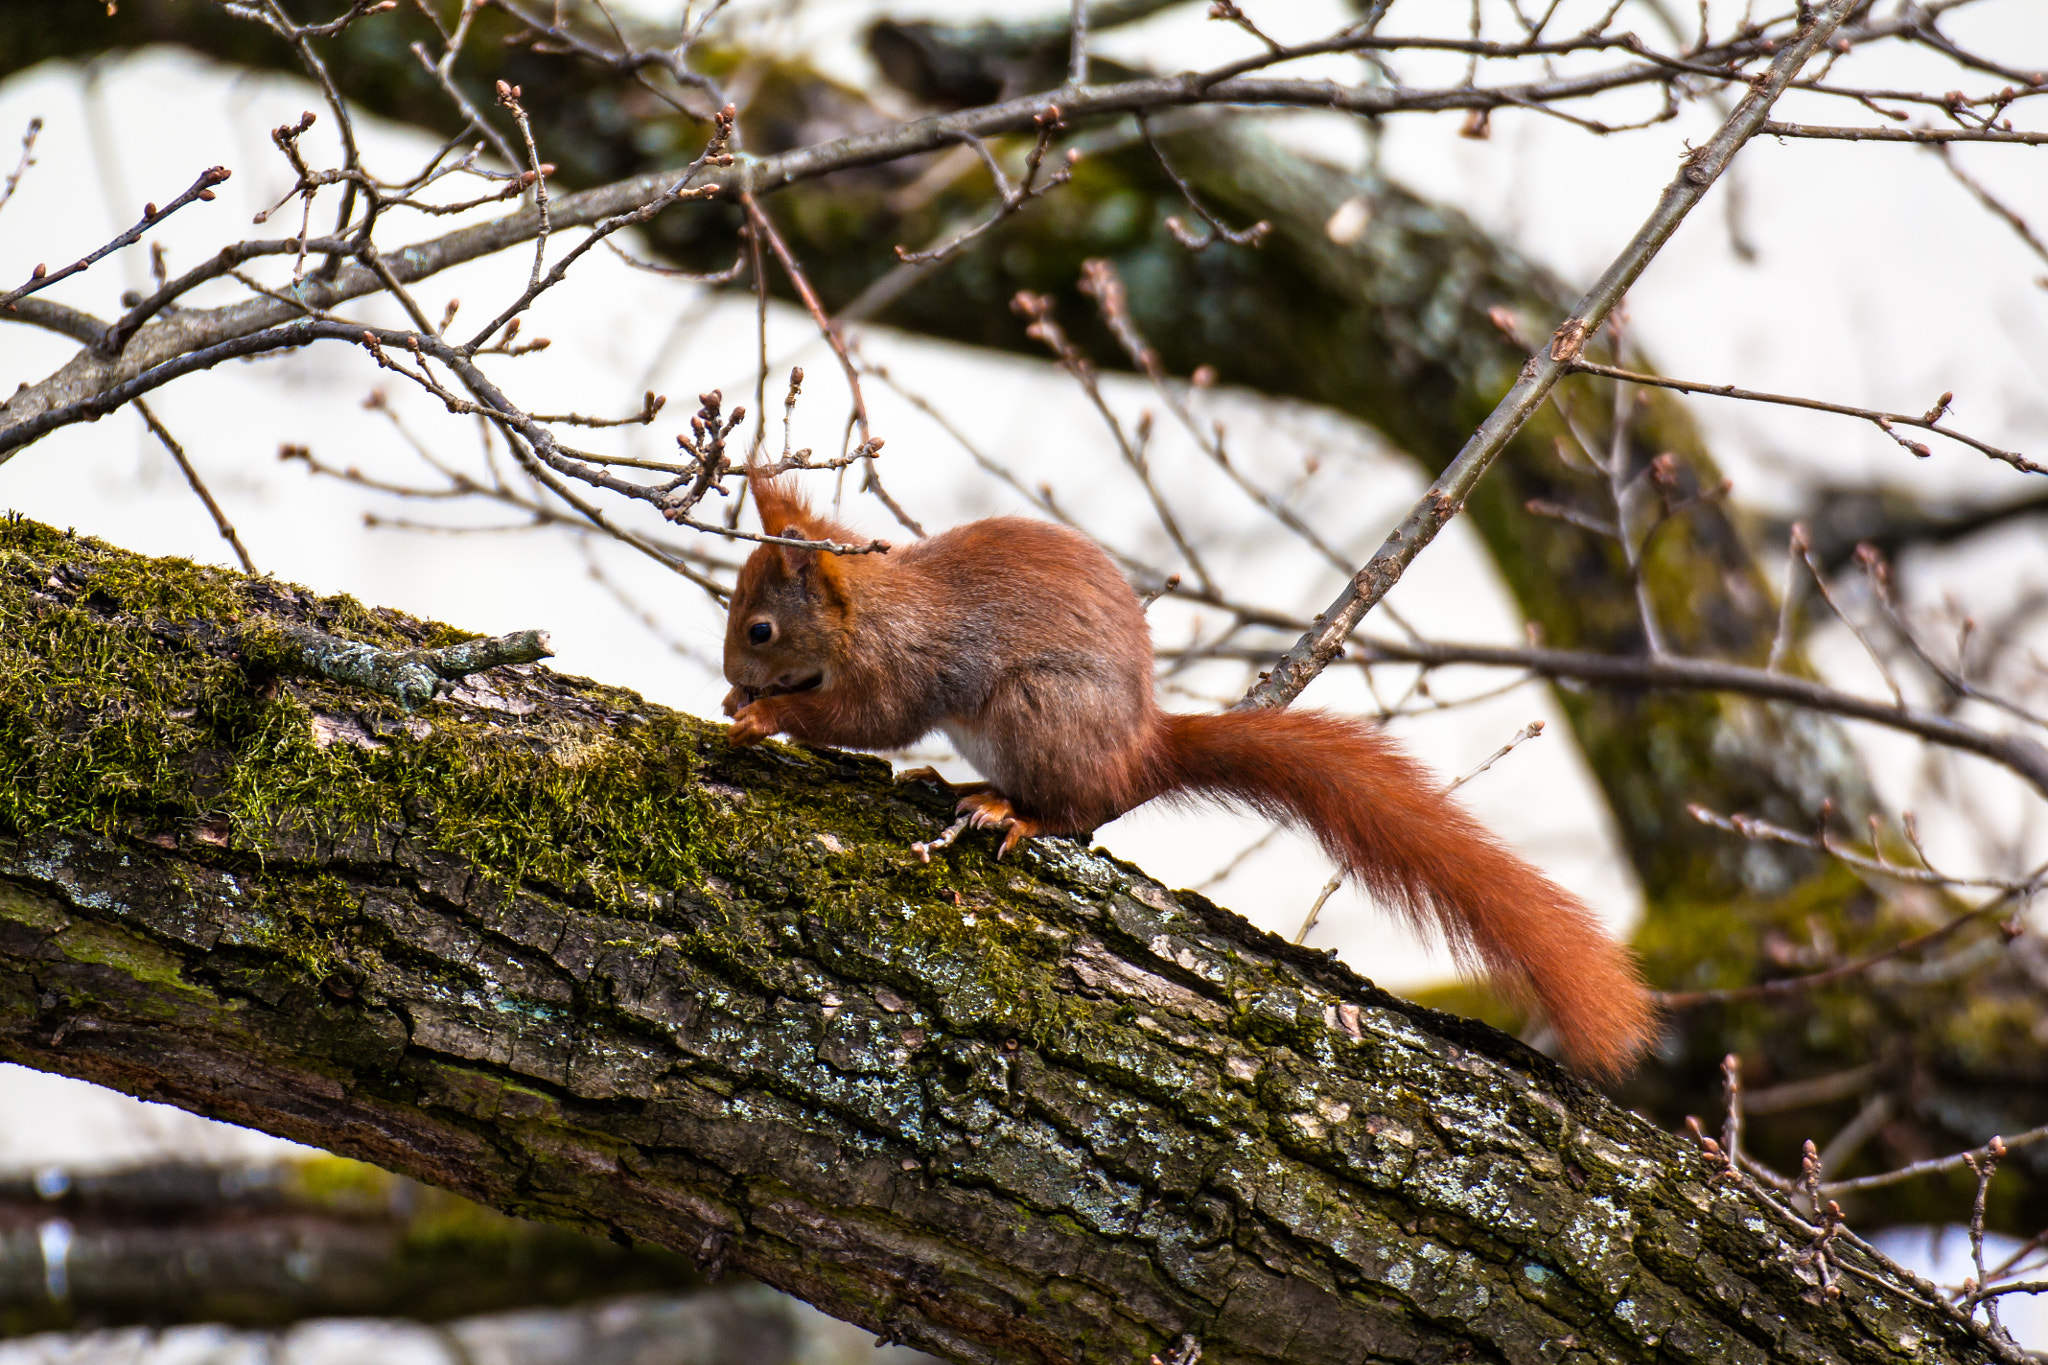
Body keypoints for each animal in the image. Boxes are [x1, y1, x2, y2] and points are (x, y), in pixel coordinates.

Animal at [720, 469, 1656, 1077]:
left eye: (760, 628)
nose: (734, 671)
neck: (871, 611)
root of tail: (1140, 753)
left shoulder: (905, 672)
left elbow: (867, 724)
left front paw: (766, 716)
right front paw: (743, 703)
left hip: (1037, 712)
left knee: (1071, 810)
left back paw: (1009, 810)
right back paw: (957, 787)